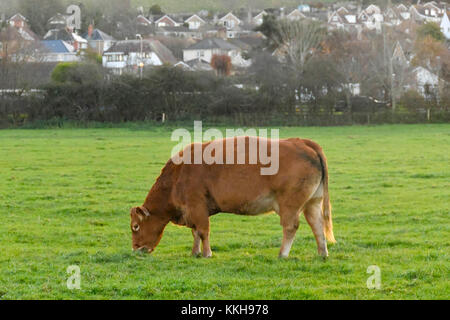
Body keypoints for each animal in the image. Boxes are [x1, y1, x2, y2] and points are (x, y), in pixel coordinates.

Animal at [129, 136, 334, 258]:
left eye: (135, 226)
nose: (136, 249)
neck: (178, 174)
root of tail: (302, 142)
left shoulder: (197, 207)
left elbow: (203, 231)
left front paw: (207, 253)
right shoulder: (192, 211)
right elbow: (195, 232)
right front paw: (195, 252)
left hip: (290, 206)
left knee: (291, 227)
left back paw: (283, 254)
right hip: (312, 203)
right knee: (317, 225)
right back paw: (322, 253)